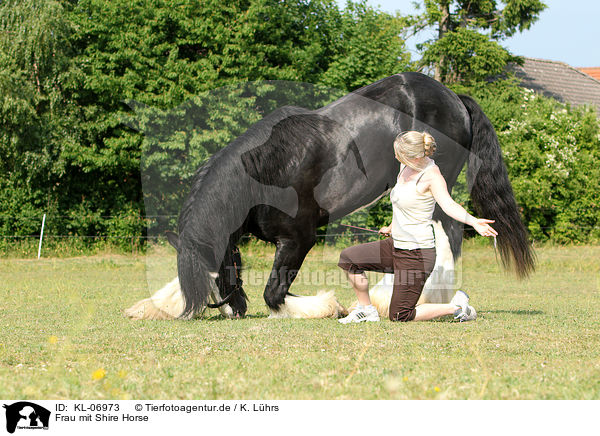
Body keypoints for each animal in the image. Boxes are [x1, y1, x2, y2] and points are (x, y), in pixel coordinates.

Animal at [125, 72, 536, 320]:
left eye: (224, 270)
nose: (232, 311)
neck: (268, 169)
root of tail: (452, 96)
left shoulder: (299, 239)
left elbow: (275, 293)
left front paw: (326, 306)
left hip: (437, 185)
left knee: (446, 237)